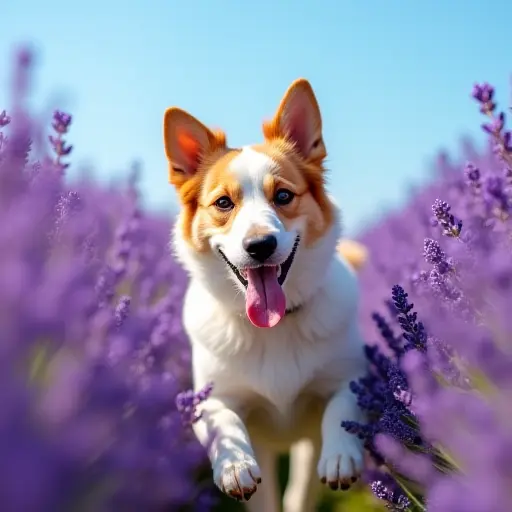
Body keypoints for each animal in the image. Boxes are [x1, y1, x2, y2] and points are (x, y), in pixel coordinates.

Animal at [164, 79, 368, 512]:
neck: (275, 327)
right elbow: (222, 421)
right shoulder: (212, 397)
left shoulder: (352, 376)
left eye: (284, 196)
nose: (259, 245)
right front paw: (234, 463)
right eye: (224, 203)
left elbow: (343, 405)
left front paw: (341, 453)